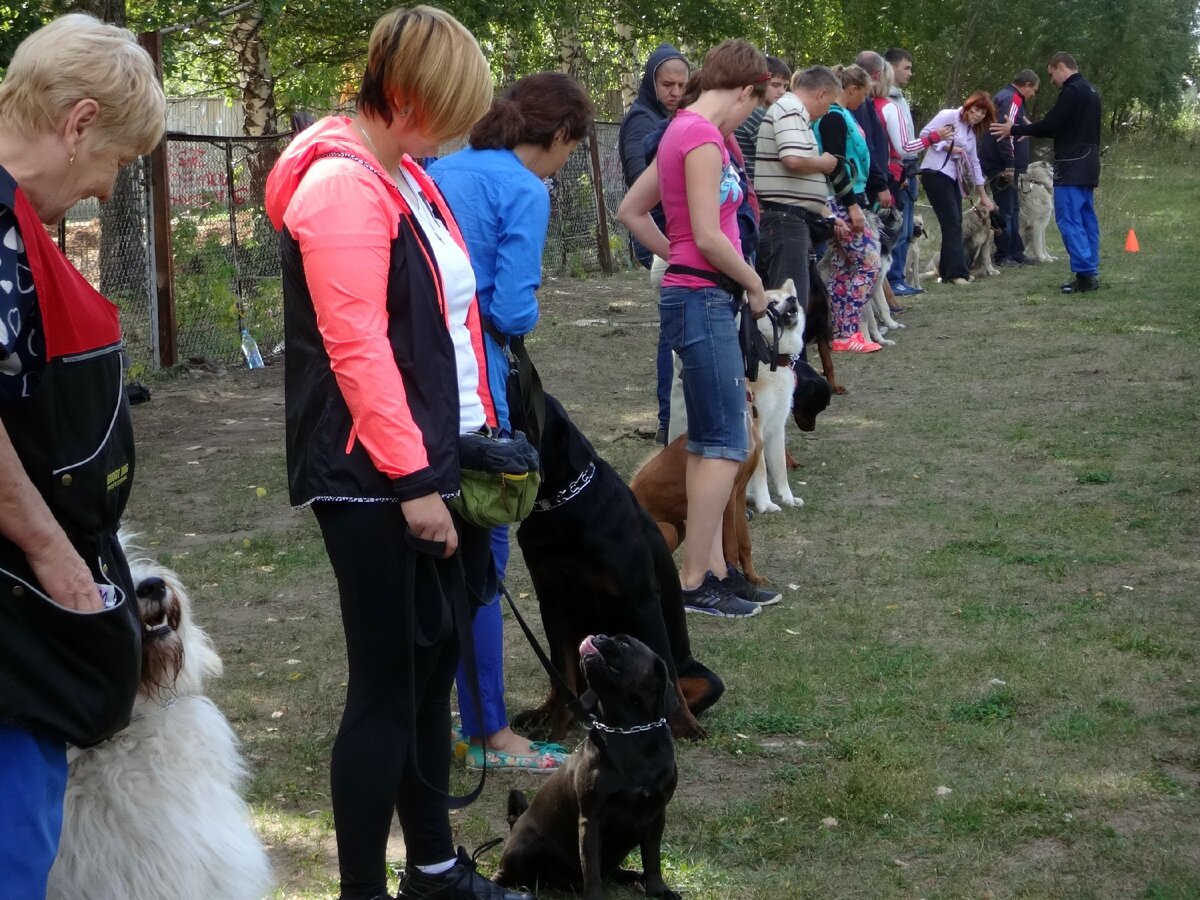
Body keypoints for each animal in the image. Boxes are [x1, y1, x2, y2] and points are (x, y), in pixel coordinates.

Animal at [496, 633, 681, 900]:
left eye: (624, 643)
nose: (600, 636)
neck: (629, 732)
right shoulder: (591, 820)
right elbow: (591, 869)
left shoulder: (656, 815)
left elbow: (652, 859)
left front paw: (658, 889)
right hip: (525, 848)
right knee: (505, 875)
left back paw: (634, 877)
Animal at [513, 393, 720, 739]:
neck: (560, 505)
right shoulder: (552, 602)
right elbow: (561, 673)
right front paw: (556, 730)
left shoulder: (642, 599)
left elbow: (668, 674)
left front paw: (685, 726)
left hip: (703, 676)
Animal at [633, 415, 763, 588]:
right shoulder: (729, 497)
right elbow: (731, 547)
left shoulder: (740, 493)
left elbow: (744, 541)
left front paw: (753, 577)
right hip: (668, 530)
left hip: (680, 528)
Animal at [739, 282, 806, 518]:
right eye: (773, 303)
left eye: (790, 297)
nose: (793, 300)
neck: (771, 360)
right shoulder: (756, 429)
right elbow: (761, 472)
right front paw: (766, 504)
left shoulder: (777, 428)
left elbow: (780, 469)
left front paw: (788, 498)